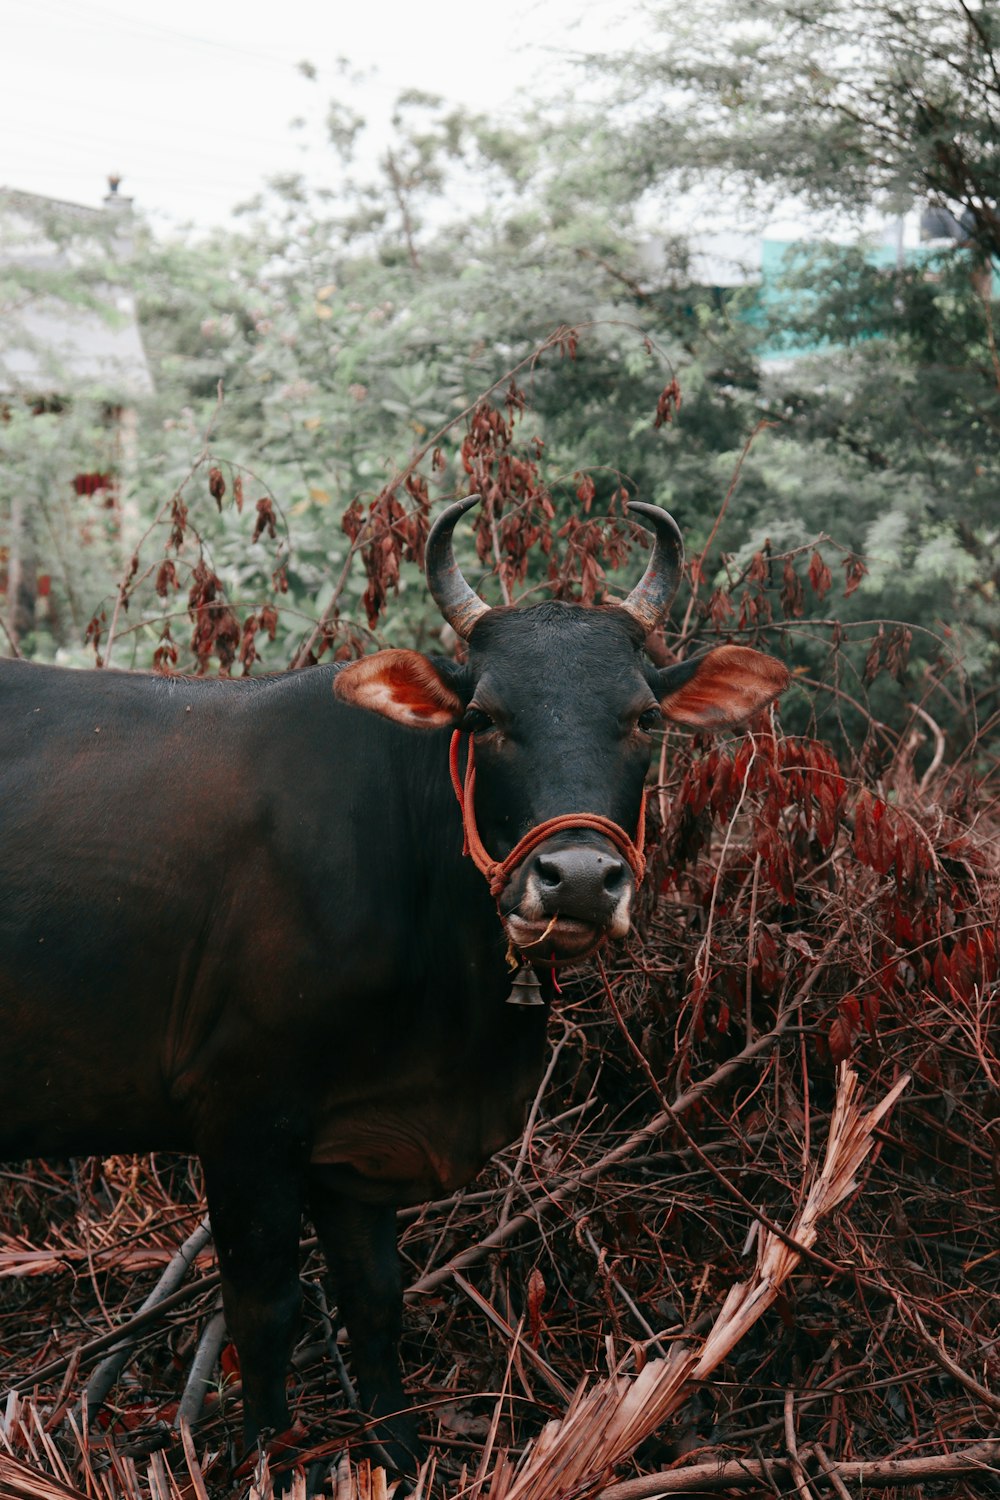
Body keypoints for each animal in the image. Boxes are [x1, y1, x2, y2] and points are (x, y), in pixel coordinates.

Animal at [0, 501, 779, 1476]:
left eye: (643, 715)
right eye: (482, 715)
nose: (578, 880)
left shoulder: (359, 1143)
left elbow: (375, 1302)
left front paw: (397, 1451)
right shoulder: (244, 1119)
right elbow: (266, 1309)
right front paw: (267, 1455)